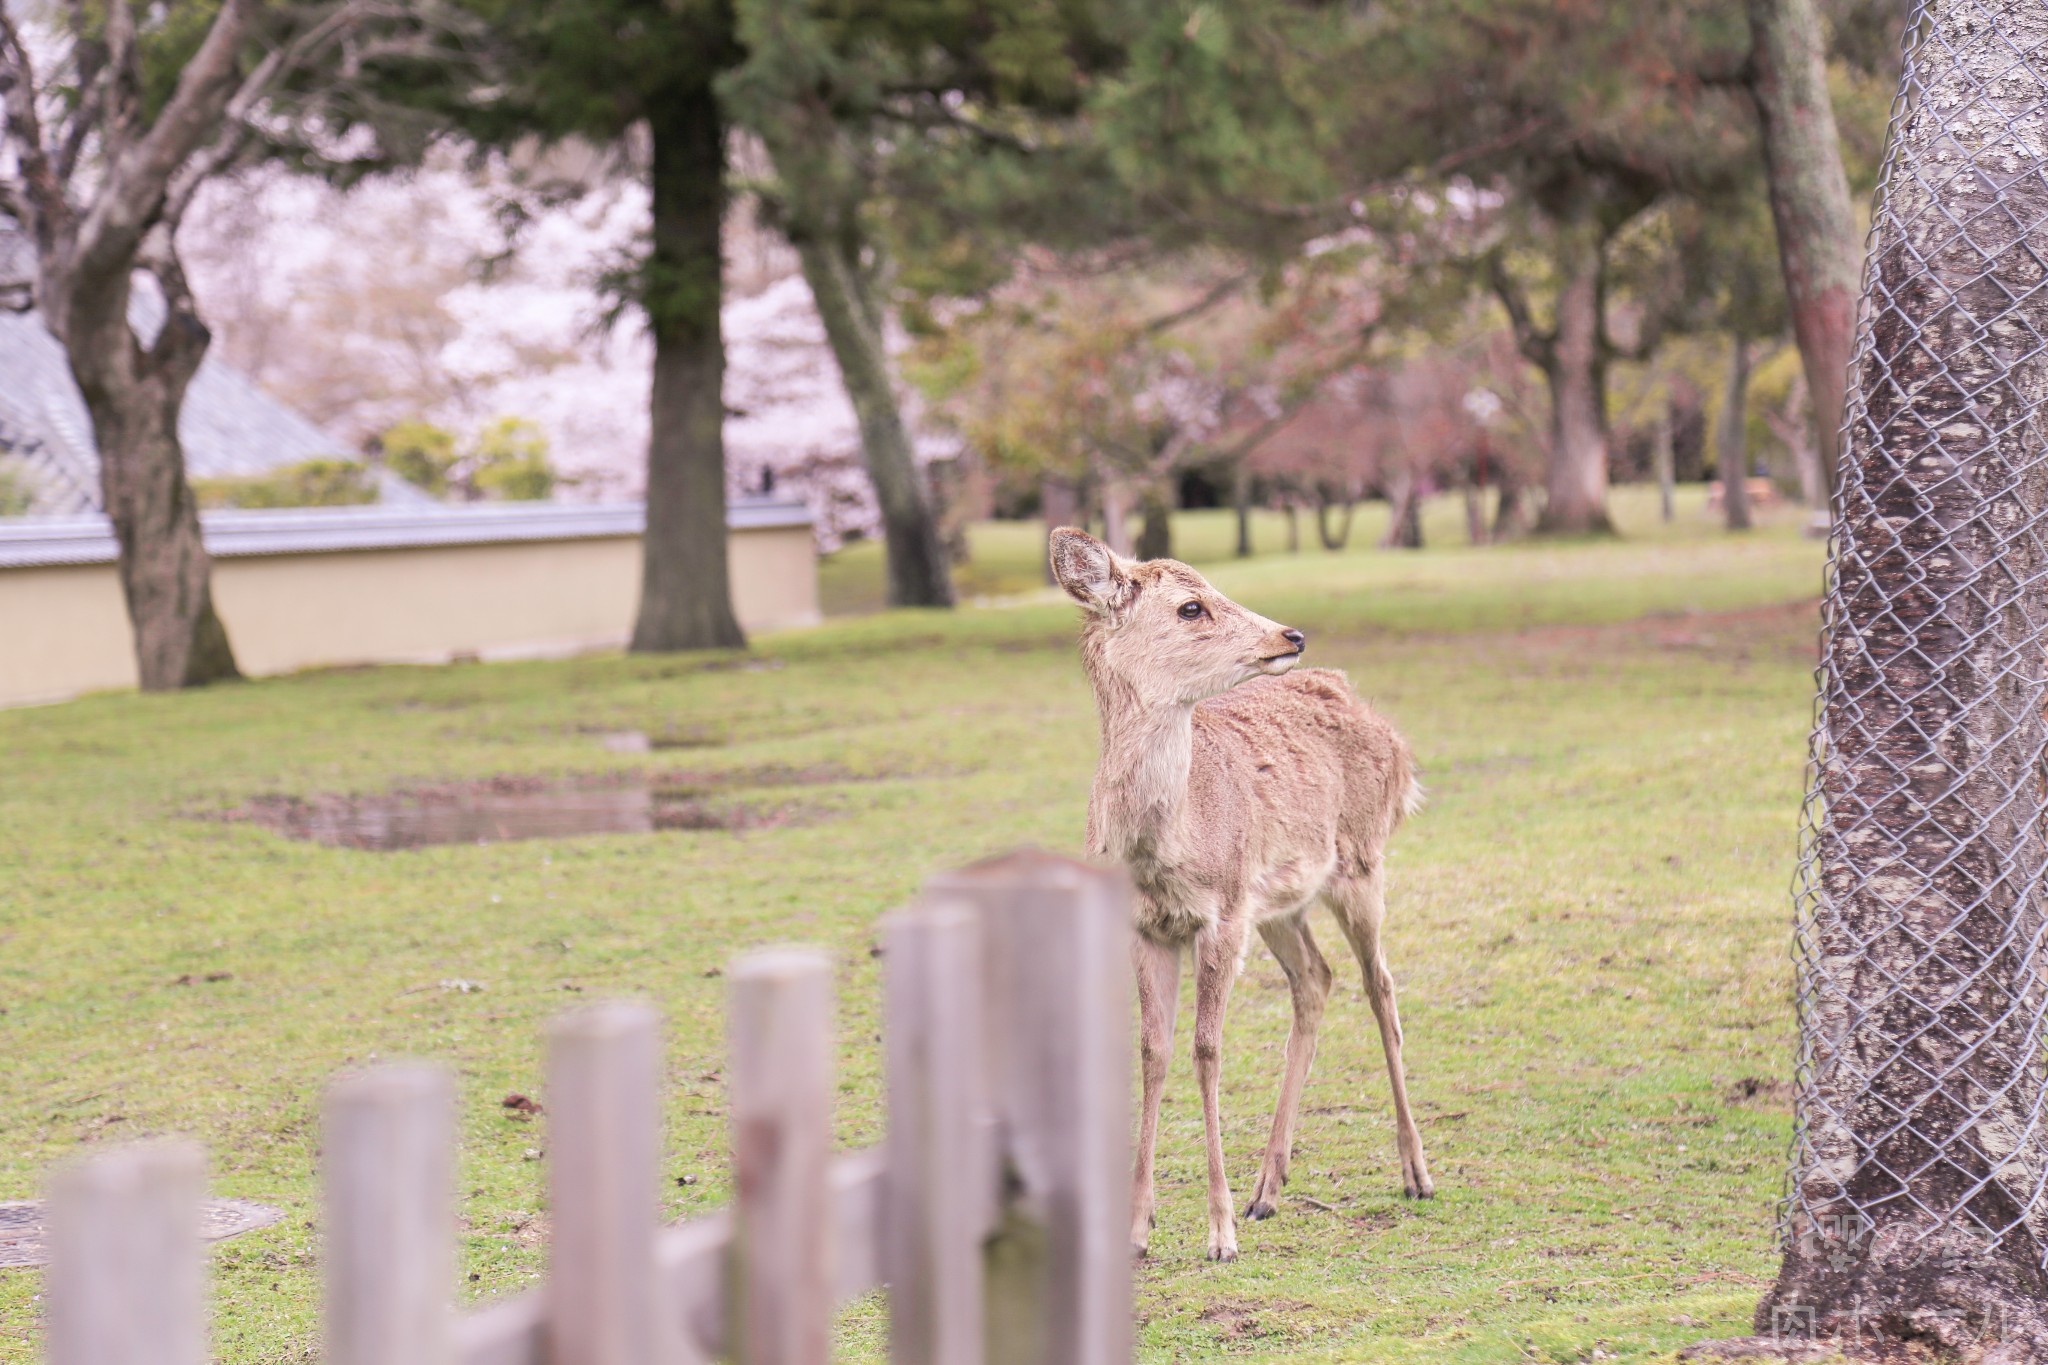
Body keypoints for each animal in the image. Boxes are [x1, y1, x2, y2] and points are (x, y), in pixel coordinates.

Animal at [1048, 527, 1433, 1268]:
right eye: (1191, 606)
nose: (1291, 633)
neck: (1165, 847)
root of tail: (1396, 742)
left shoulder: (1222, 914)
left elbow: (1207, 1049)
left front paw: (1219, 1233)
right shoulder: (1148, 927)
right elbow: (1155, 1049)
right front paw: (1137, 1229)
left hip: (1360, 861)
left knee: (1381, 984)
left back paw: (1416, 1172)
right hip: (1278, 902)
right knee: (1316, 978)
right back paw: (1268, 1188)